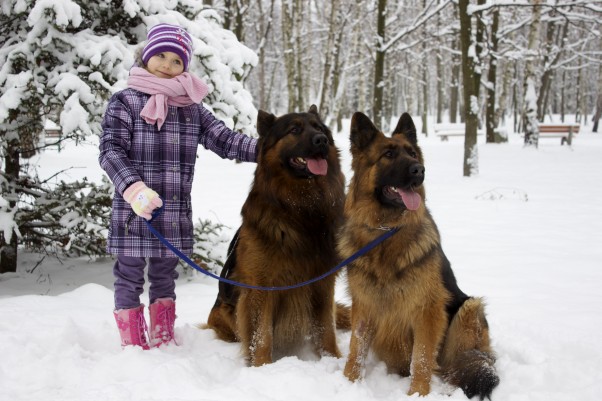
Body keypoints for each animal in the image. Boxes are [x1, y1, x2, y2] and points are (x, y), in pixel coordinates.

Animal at [203, 104, 346, 364]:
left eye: (320, 129)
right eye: (294, 130)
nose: (321, 140)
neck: (302, 210)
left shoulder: (322, 283)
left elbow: (326, 329)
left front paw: (332, 359)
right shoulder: (262, 287)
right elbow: (262, 335)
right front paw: (261, 366)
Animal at [338, 111, 496, 396]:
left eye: (412, 154)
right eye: (388, 154)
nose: (419, 170)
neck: (387, 230)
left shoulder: (428, 311)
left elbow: (421, 358)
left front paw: (418, 394)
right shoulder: (364, 306)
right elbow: (356, 350)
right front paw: (349, 384)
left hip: (469, 309)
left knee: (455, 367)